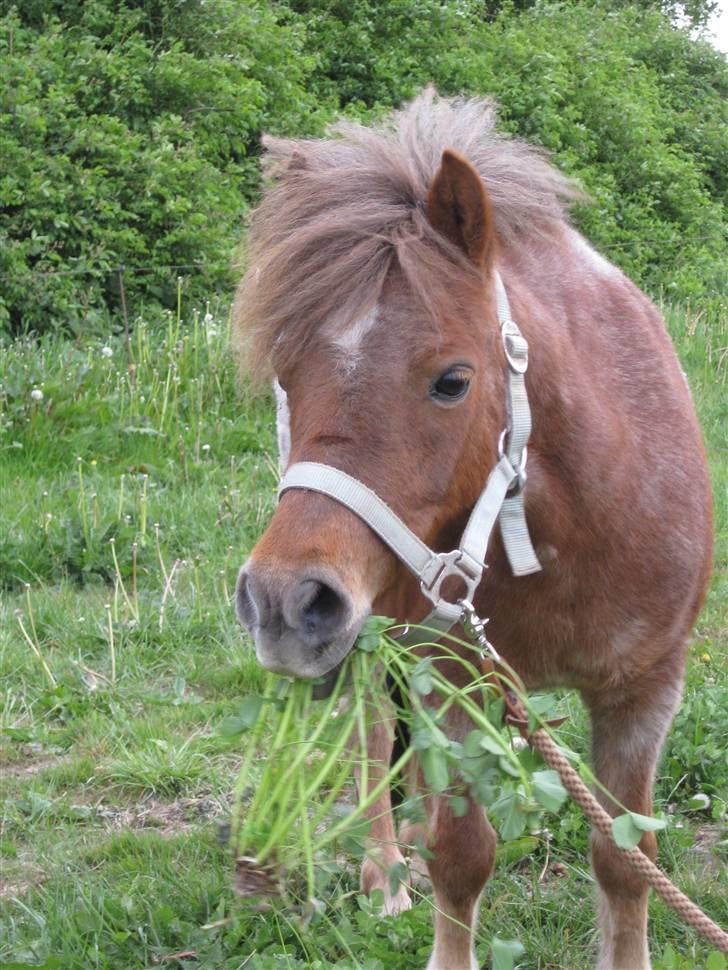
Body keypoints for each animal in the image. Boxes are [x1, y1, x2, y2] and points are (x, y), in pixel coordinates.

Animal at [233, 91, 712, 968]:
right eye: (285, 375)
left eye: (452, 381)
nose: (282, 603)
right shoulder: (452, 674)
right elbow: (461, 856)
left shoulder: (645, 690)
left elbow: (626, 859)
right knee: (373, 729)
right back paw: (385, 875)